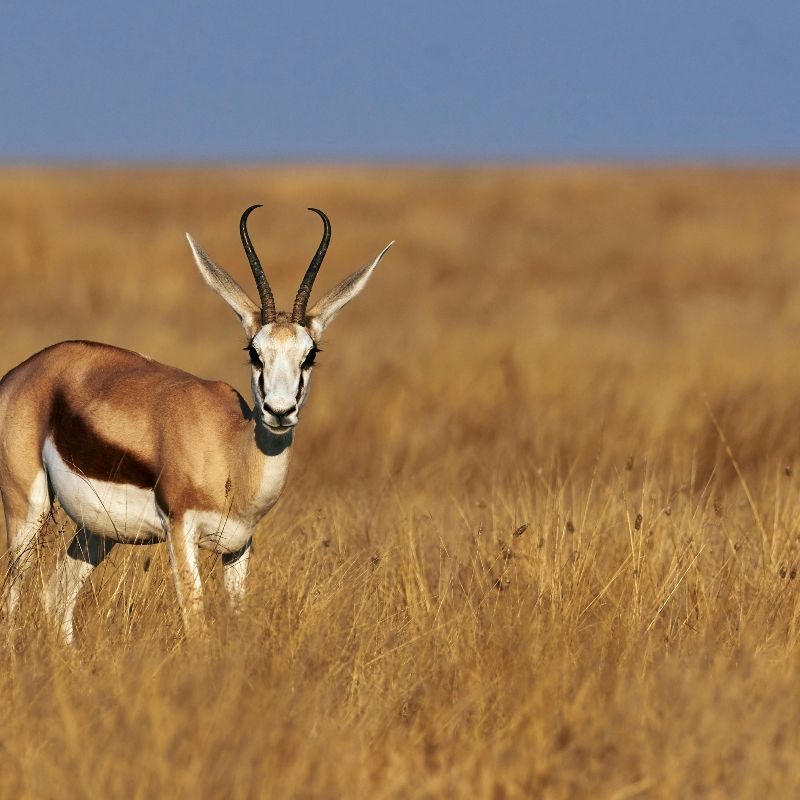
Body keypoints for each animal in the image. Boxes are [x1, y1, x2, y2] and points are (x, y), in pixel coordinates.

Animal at [0, 206, 393, 642]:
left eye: (310, 355)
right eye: (254, 352)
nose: (279, 410)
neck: (232, 451)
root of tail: (23, 371)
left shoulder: (238, 546)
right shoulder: (180, 531)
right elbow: (197, 624)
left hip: (98, 532)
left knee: (56, 595)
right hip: (29, 512)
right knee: (13, 598)